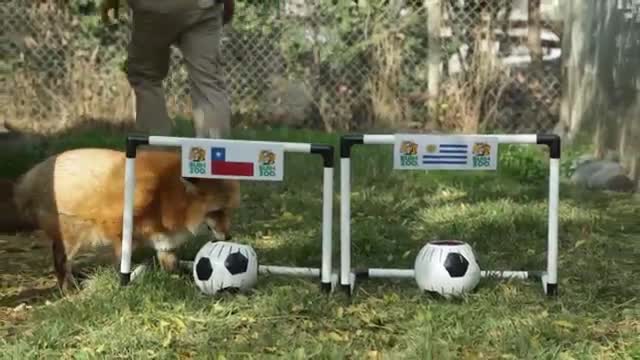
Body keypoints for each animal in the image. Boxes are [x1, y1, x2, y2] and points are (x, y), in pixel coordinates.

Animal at [11, 148, 241, 292]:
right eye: (217, 211)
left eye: (230, 210)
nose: (228, 237)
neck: (164, 198)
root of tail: (29, 176)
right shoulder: (120, 231)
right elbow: (122, 263)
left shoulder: (165, 243)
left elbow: (173, 267)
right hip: (72, 239)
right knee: (60, 263)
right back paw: (68, 291)